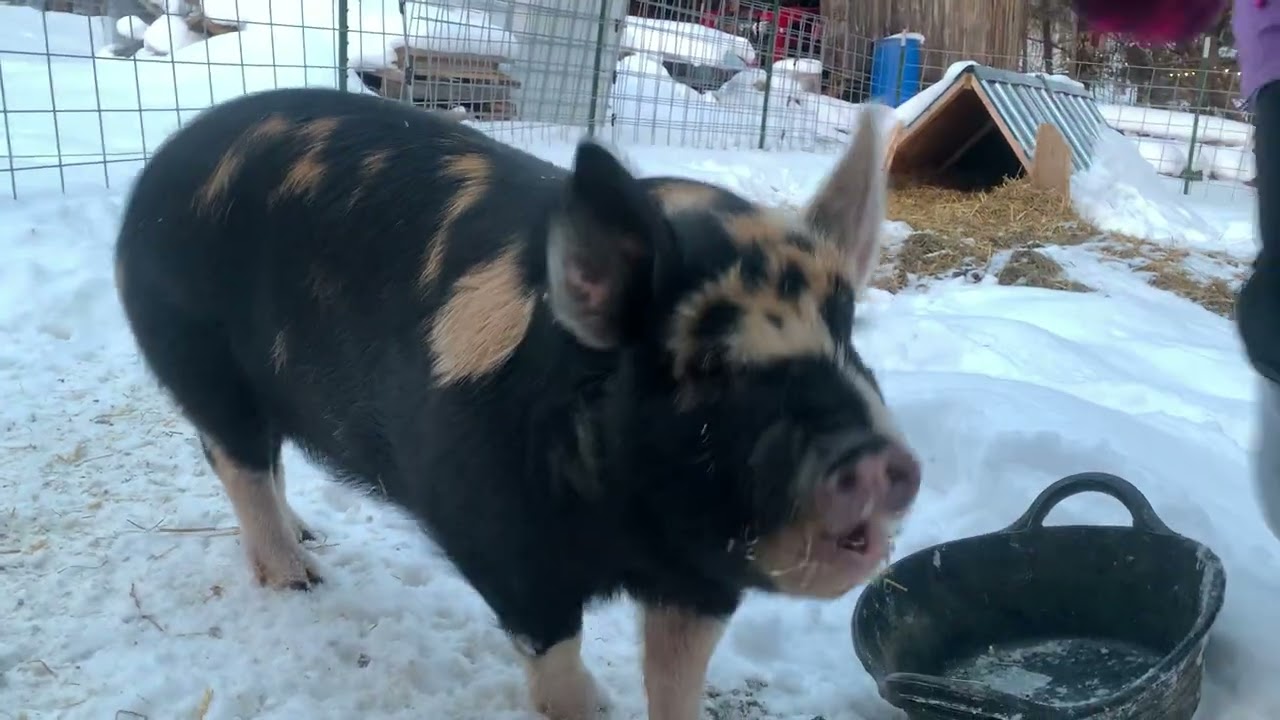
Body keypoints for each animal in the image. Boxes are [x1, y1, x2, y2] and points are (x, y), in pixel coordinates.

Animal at [113, 86, 921, 720]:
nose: (875, 456)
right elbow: (557, 657)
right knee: (235, 459)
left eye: (846, 334)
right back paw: (300, 577)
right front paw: (593, 706)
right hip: (199, 360)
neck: (629, 540)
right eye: (707, 362)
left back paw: (311, 536)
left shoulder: (701, 583)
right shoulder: (501, 541)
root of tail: (163, 163)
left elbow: (676, 679)